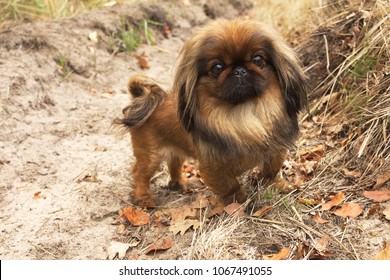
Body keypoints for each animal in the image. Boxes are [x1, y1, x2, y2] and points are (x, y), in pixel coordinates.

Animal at [115, 18, 308, 208]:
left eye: (258, 59)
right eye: (217, 67)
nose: (239, 70)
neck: (244, 113)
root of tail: (141, 100)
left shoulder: (276, 149)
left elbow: (270, 170)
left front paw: (273, 184)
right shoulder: (213, 166)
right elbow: (230, 185)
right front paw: (239, 201)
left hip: (175, 150)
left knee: (174, 164)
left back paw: (181, 183)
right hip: (151, 155)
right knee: (139, 173)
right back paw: (144, 197)